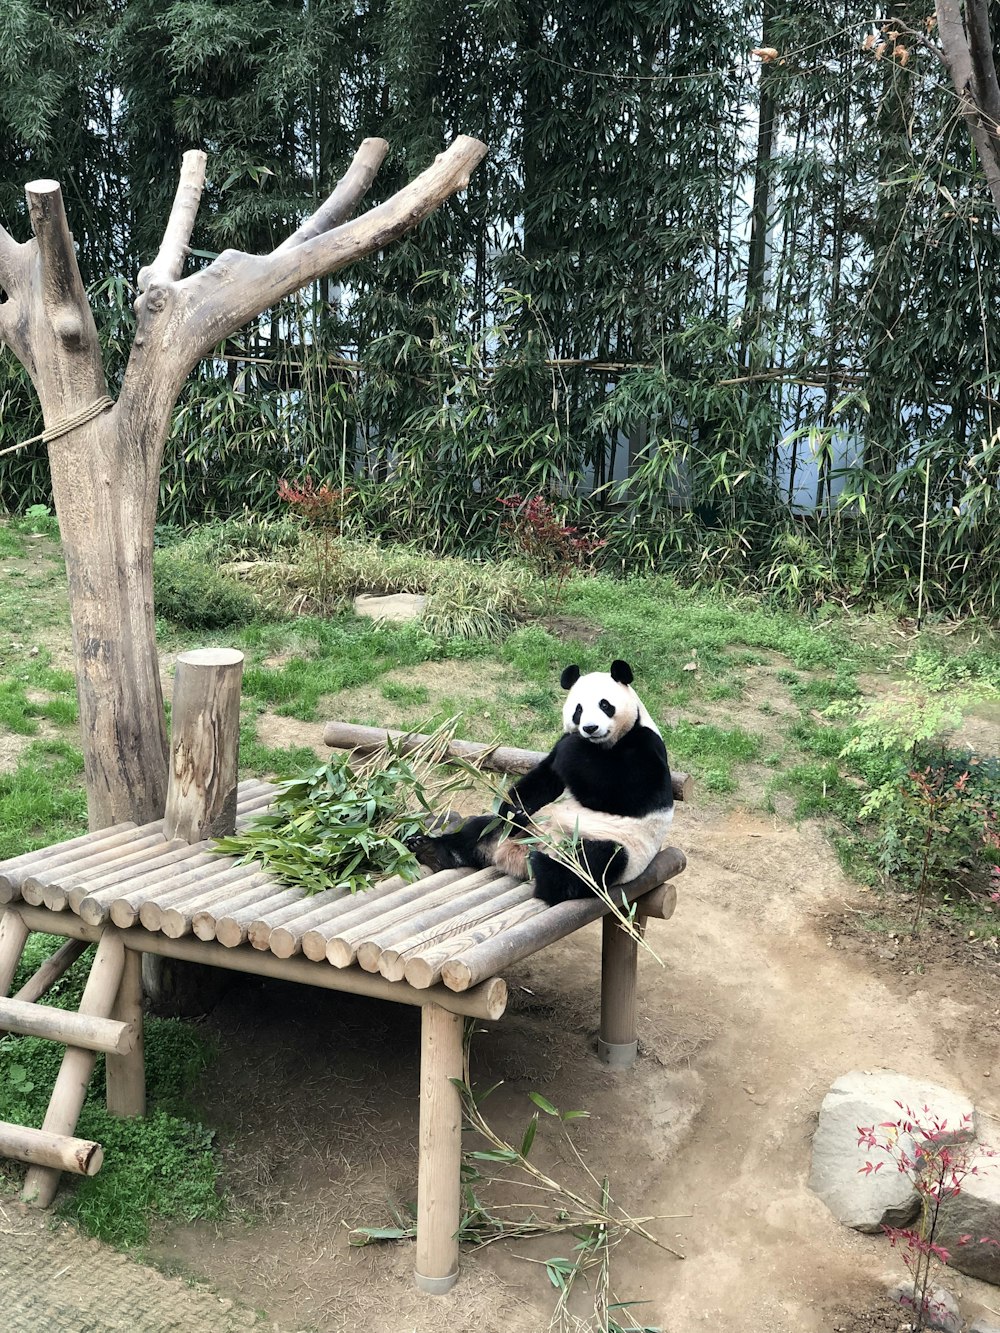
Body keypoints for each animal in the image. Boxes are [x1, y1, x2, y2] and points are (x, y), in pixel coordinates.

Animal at [410, 658, 677, 906]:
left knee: (594, 864)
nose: (590, 728)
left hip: (618, 846)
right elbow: (543, 781)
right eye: (578, 710)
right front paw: (515, 807)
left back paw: (543, 869)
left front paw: (575, 747)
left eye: (605, 704)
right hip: (517, 827)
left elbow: (624, 792)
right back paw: (430, 849)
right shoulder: (556, 758)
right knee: (481, 829)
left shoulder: (645, 746)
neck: (600, 745)